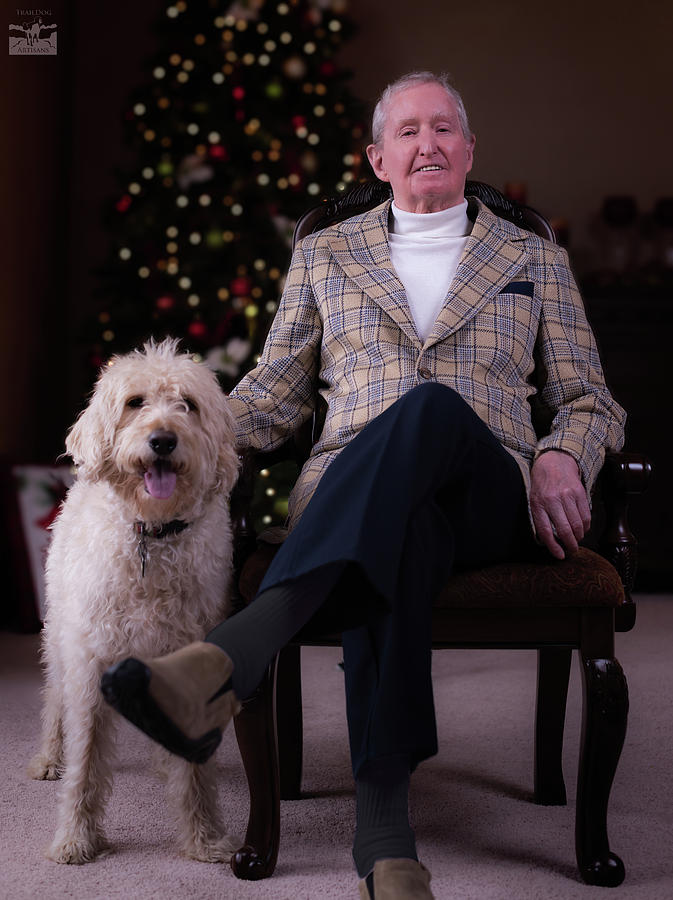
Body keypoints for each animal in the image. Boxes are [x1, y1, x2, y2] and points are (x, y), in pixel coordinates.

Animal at [26, 338, 242, 864]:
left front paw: (204, 836)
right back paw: (49, 757)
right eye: (135, 402)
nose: (163, 440)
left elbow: (196, 772)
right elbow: (85, 758)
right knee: (54, 699)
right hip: (59, 638)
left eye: (188, 404)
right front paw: (75, 839)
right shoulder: (89, 658)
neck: (152, 535)